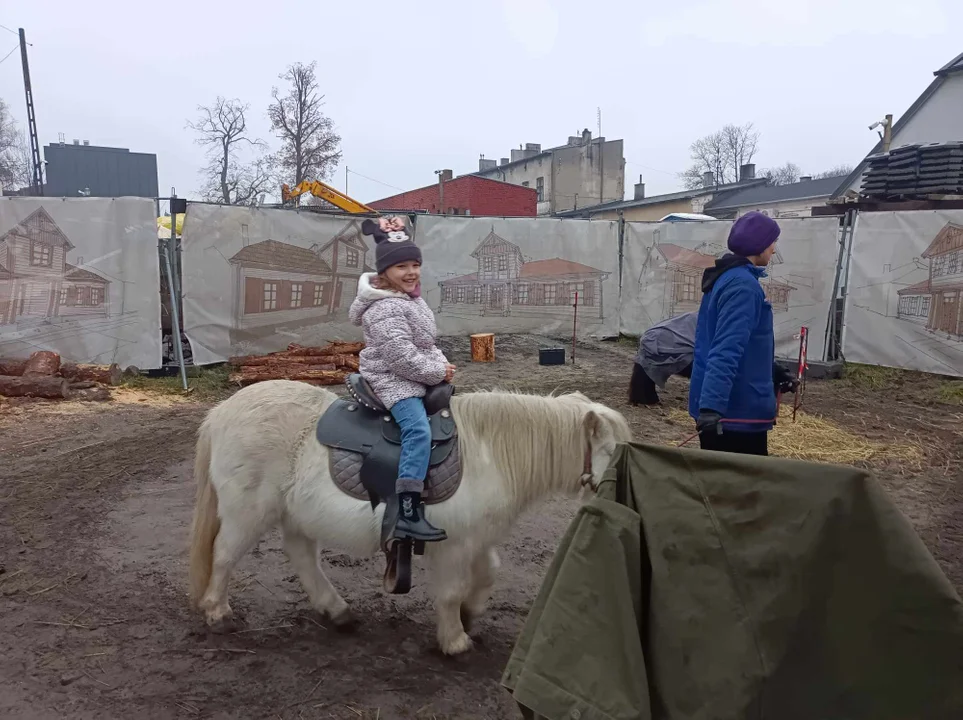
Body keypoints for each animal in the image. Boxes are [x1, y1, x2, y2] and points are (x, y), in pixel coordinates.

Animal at [188, 380, 632, 656]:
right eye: (614, 453)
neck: (489, 452)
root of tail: (221, 412)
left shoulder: (477, 538)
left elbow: (489, 573)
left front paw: (470, 615)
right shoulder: (454, 545)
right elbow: (450, 592)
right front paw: (454, 640)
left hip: (295, 514)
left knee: (301, 556)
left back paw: (337, 611)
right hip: (248, 512)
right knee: (224, 555)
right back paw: (217, 612)